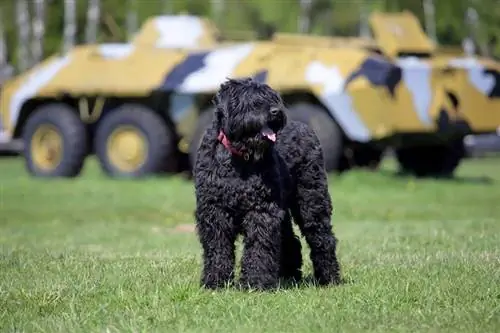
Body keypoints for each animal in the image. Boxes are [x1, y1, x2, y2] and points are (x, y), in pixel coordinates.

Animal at [193, 77, 342, 288]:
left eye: (273, 97)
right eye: (253, 100)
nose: (276, 111)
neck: (239, 157)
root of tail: (306, 127)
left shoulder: (261, 210)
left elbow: (259, 245)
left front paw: (255, 282)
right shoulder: (215, 211)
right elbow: (217, 247)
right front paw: (215, 281)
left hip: (312, 201)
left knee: (322, 237)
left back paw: (329, 277)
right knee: (289, 239)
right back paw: (288, 275)